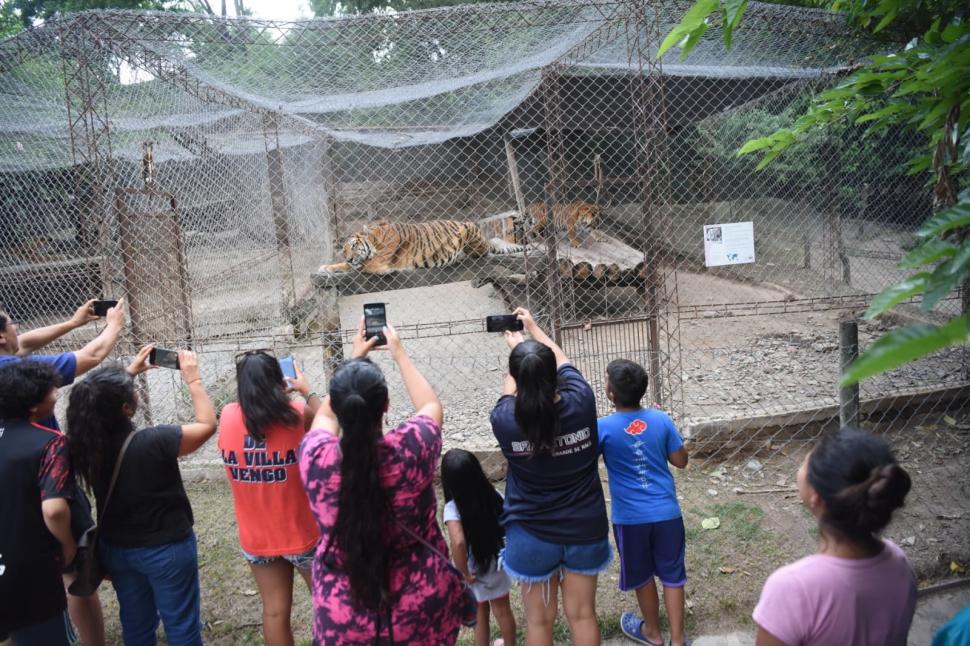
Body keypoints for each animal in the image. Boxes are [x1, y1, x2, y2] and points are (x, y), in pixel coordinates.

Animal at [318, 220, 520, 276]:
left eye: (354, 246)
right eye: (344, 250)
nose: (349, 257)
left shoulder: (380, 262)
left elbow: (364, 267)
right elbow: (345, 266)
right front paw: (326, 267)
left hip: (469, 231)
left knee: (484, 250)